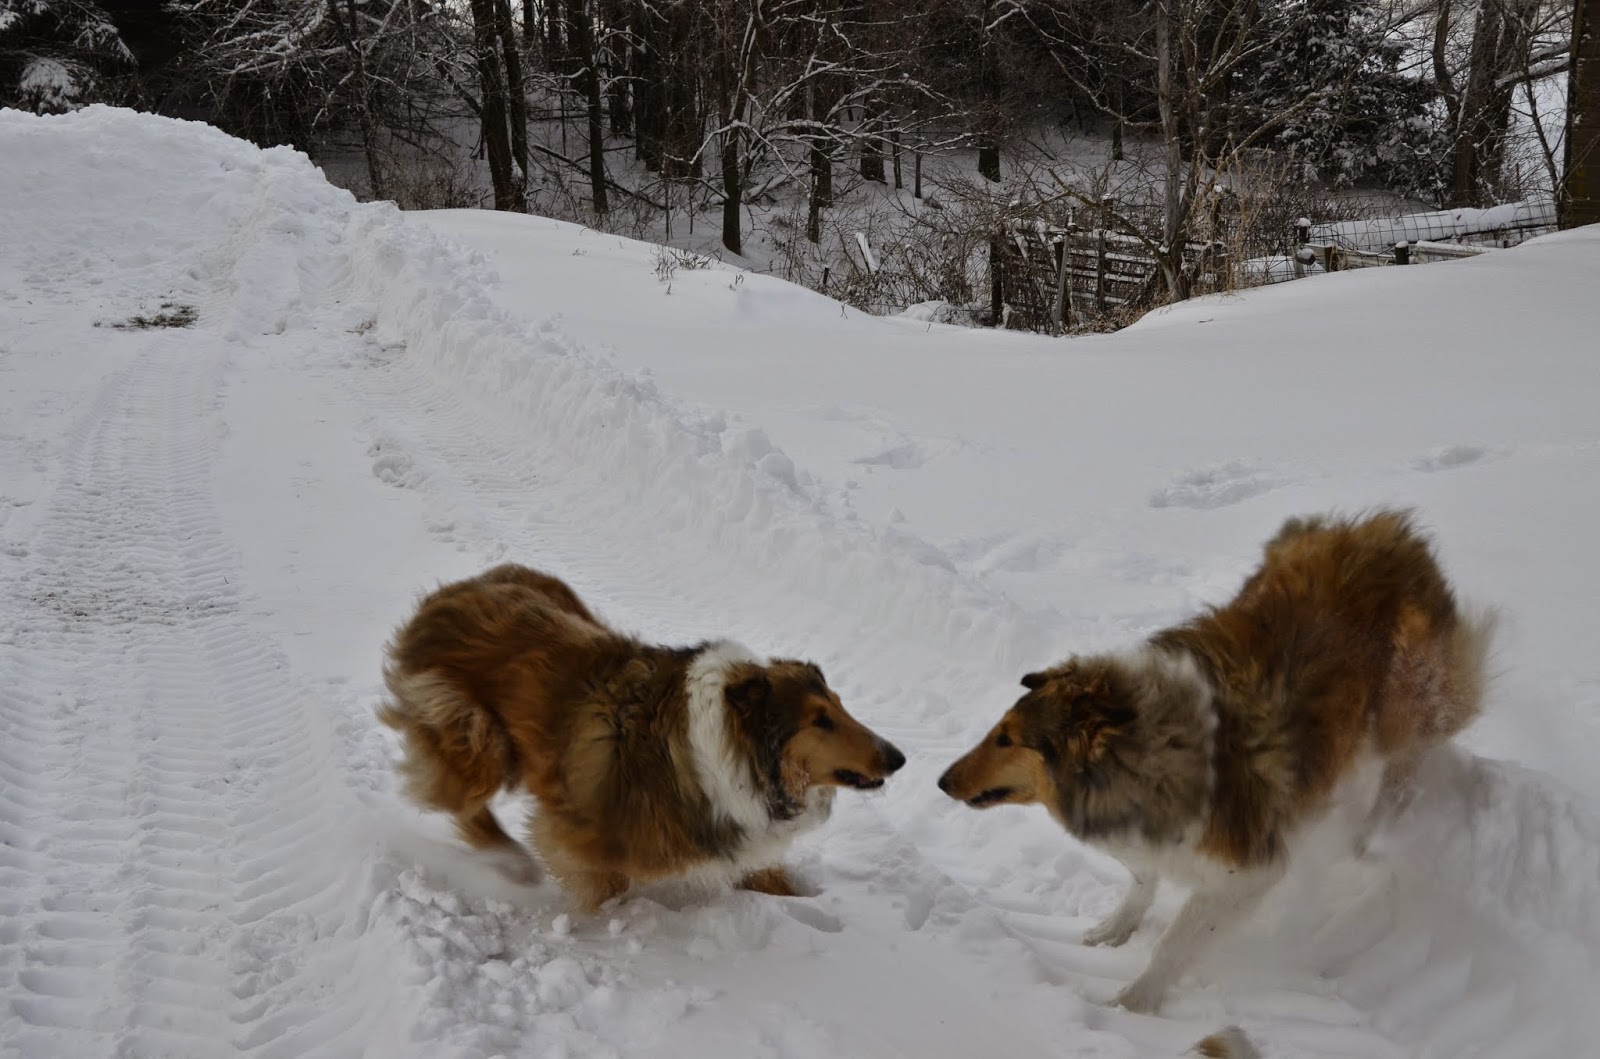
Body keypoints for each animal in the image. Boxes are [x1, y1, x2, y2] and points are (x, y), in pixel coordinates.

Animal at [379, 563, 905, 912]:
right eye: (820, 720)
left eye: (840, 705)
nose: (897, 758)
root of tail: (444, 598)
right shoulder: (575, 832)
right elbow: (604, 889)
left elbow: (772, 878)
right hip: (474, 733)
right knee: (463, 801)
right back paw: (510, 861)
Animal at [938, 510, 1493, 1012]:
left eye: (1008, 739)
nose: (941, 781)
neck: (1148, 742)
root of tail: (1386, 528)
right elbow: (1140, 882)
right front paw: (1113, 931)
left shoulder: (1246, 874)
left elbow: (1173, 943)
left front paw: (1134, 1005)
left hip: (1404, 708)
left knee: (1402, 772)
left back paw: (1369, 835)